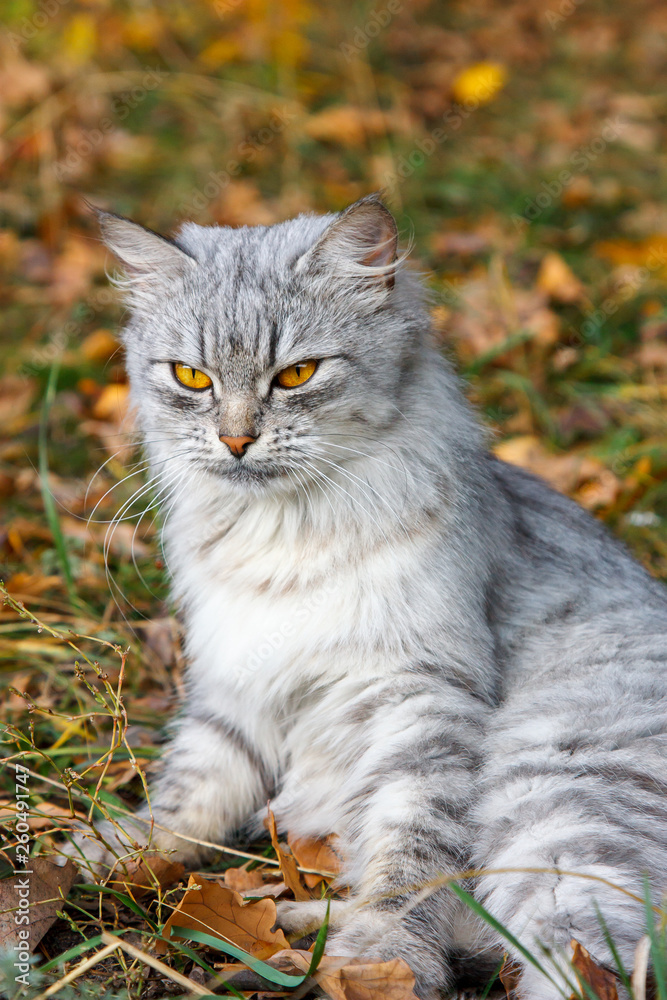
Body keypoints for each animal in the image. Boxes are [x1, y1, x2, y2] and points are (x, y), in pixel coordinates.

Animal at [72, 197, 667, 1000]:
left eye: (296, 374)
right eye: (192, 378)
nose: (235, 441)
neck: (281, 543)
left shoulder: (418, 699)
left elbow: (407, 859)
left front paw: (379, 958)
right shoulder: (236, 687)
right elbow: (186, 797)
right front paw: (108, 854)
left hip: (557, 806)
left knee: (582, 963)